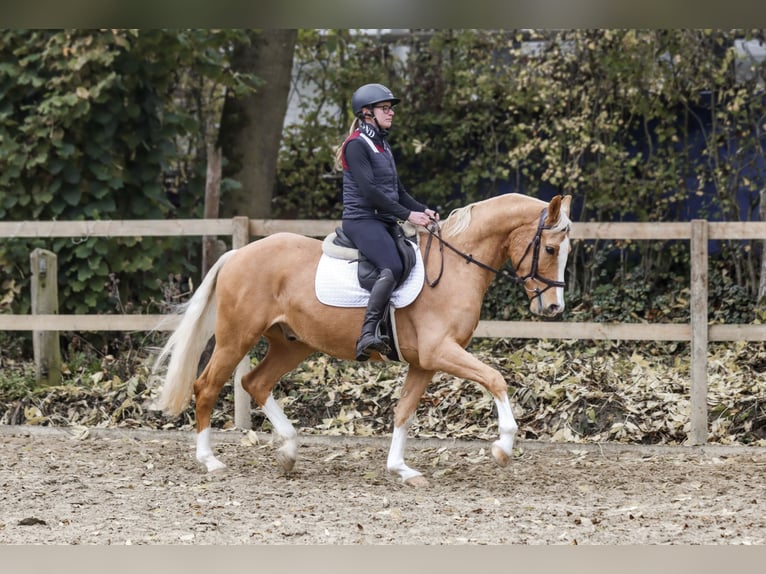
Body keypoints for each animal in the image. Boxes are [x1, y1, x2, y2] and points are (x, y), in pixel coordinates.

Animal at [153, 192, 572, 486]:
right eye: (551, 249)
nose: (554, 307)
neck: (455, 268)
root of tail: (238, 253)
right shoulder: (441, 352)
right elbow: (495, 379)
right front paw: (503, 447)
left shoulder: (424, 362)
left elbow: (404, 411)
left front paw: (401, 469)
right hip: (236, 339)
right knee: (207, 387)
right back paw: (211, 462)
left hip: (293, 344)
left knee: (254, 382)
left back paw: (288, 450)